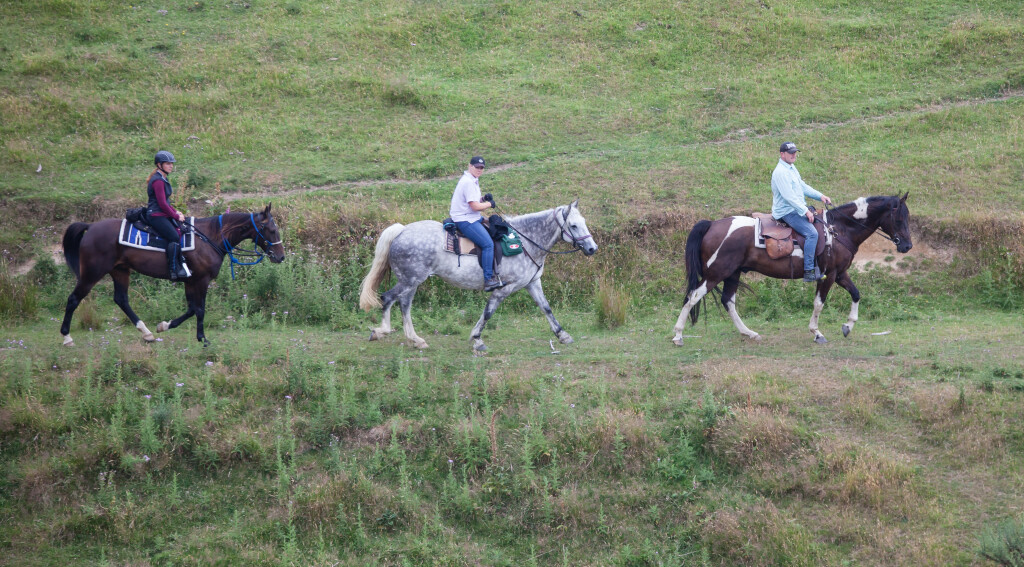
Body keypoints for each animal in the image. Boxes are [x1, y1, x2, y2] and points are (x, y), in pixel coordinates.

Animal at [60, 205, 285, 347]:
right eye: (271, 230)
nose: (281, 256)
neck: (210, 237)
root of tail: (91, 226)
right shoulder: (200, 281)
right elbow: (200, 310)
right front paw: (203, 339)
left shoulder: (190, 281)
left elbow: (192, 309)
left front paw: (164, 326)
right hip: (92, 273)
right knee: (73, 299)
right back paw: (66, 337)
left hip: (120, 270)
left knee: (121, 299)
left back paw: (147, 333)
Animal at [358, 200, 598, 352]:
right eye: (574, 225)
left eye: (584, 222)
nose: (592, 248)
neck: (526, 241)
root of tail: (401, 231)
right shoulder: (505, 288)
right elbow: (488, 312)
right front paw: (476, 339)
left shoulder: (532, 283)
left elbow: (546, 308)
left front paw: (563, 335)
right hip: (409, 279)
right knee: (388, 298)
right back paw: (381, 332)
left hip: (412, 281)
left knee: (404, 304)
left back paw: (415, 340)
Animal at [672, 194, 912, 345]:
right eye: (899, 218)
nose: (907, 246)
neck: (838, 230)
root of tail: (712, 224)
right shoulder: (828, 275)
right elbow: (819, 303)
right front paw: (817, 333)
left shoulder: (840, 273)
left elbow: (856, 294)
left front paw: (848, 326)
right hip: (716, 273)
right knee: (693, 296)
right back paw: (678, 336)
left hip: (733, 273)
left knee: (728, 301)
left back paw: (749, 333)